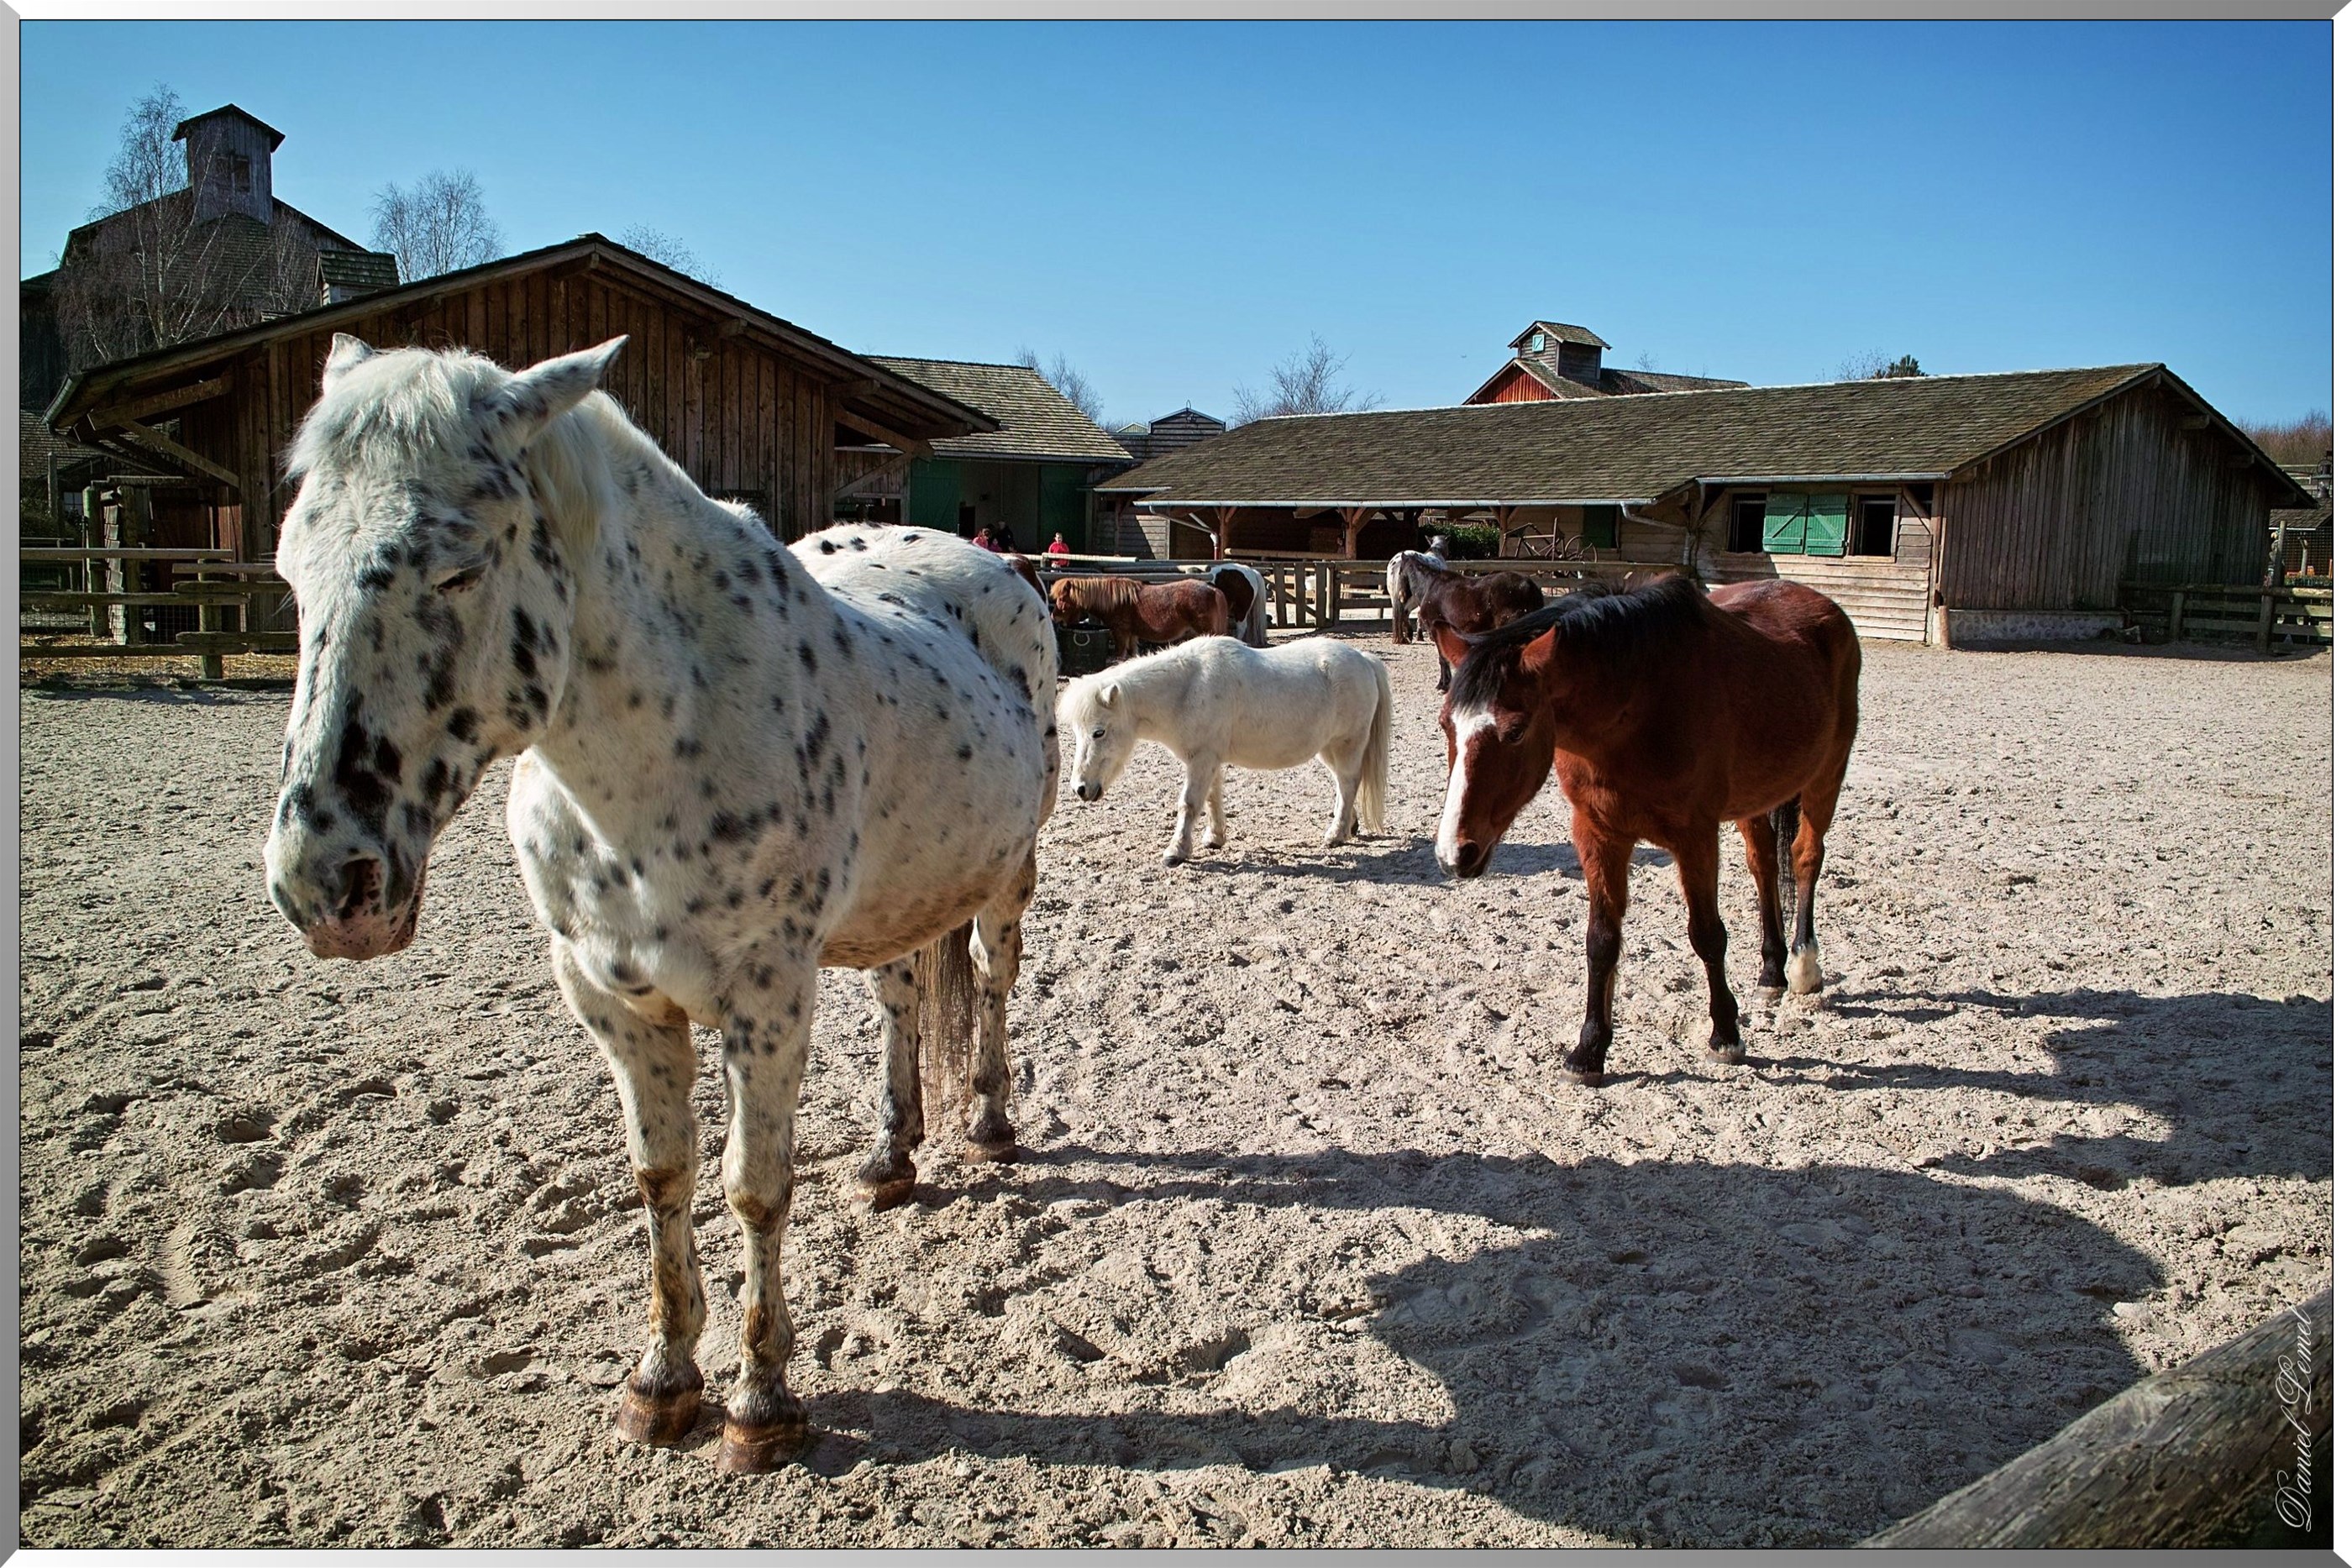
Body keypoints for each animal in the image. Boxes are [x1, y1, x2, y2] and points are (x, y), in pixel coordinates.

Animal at [261, 335, 1059, 1475]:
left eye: (458, 566)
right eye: (290, 570)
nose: (325, 881)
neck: (656, 755)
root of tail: (993, 565)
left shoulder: (766, 1004)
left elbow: (754, 1186)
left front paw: (762, 1403)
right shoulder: (619, 1006)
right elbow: (661, 1176)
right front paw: (663, 1380)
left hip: (1006, 877)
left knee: (991, 986)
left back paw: (989, 1122)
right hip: (896, 902)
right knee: (903, 1003)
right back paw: (889, 1156)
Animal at [1047, 574, 1228, 661]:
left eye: (1062, 599)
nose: (1054, 617)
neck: (1117, 601)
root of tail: (1213, 590)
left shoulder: (1120, 634)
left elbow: (1120, 656)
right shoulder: (1132, 636)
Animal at [1060, 636, 1391, 866]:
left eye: (1099, 732)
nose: (1081, 788)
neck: (1187, 688)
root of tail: (1364, 659)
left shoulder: (1202, 759)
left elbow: (1189, 804)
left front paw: (1176, 851)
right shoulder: (1208, 760)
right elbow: (1211, 798)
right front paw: (1214, 838)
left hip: (1347, 743)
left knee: (1348, 783)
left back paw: (1335, 835)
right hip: (1329, 749)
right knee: (1344, 785)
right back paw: (1349, 826)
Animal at [1385, 550, 1546, 693]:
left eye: (1400, 572)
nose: (1401, 596)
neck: (1429, 587)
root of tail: (1530, 586)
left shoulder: (1435, 630)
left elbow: (1443, 658)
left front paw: (1443, 685)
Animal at [1430, 576, 1860, 1086]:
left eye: (1515, 731)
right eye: (1445, 725)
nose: (1455, 852)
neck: (1640, 705)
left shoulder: (1695, 837)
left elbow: (1707, 934)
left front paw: (1725, 1036)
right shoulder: (1599, 835)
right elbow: (1601, 940)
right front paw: (1588, 1051)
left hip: (1826, 774)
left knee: (1805, 857)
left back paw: (1802, 967)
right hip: (1757, 801)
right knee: (1764, 866)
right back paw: (1772, 972)